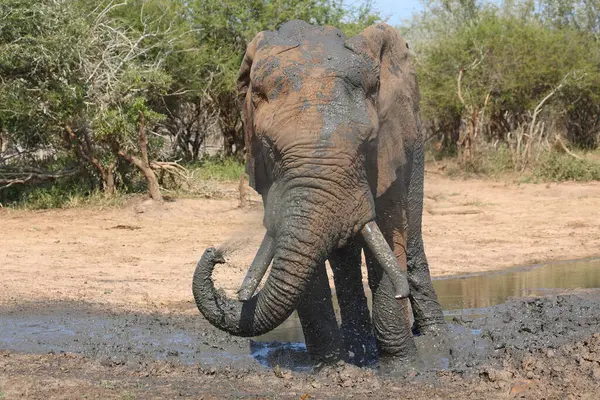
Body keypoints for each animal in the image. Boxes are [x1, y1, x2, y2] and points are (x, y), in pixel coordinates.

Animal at [192, 20, 446, 368]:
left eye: (368, 144)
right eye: (269, 149)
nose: (216, 254)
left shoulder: (389, 151)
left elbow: (391, 235)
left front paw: (404, 369)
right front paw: (330, 368)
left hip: (415, 140)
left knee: (412, 233)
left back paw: (436, 341)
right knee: (345, 258)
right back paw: (359, 350)